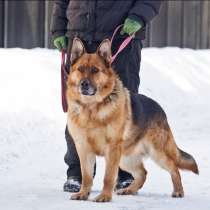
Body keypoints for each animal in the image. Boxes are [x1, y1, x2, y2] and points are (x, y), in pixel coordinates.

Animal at [66, 37, 199, 202]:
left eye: (95, 70)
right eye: (80, 69)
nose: (84, 84)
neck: (91, 108)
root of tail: (160, 109)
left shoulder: (112, 149)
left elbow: (108, 177)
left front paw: (104, 196)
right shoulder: (83, 149)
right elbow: (87, 176)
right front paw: (83, 193)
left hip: (156, 153)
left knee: (174, 168)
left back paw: (178, 191)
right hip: (125, 158)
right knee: (143, 173)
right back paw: (129, 190)